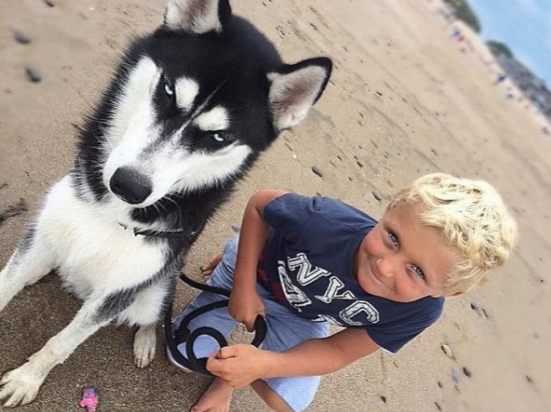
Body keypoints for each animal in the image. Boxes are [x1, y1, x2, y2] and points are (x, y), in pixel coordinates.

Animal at [0, 0, 331, 406]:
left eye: (218, 137)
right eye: (169, 91)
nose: (129, 185)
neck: (113, 213)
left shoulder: (119, 291)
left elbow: (62, 344)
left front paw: (27, 378)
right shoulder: (47, 230)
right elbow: (7, 285)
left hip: (154, 291)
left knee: (153, 316)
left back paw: (146, 340)